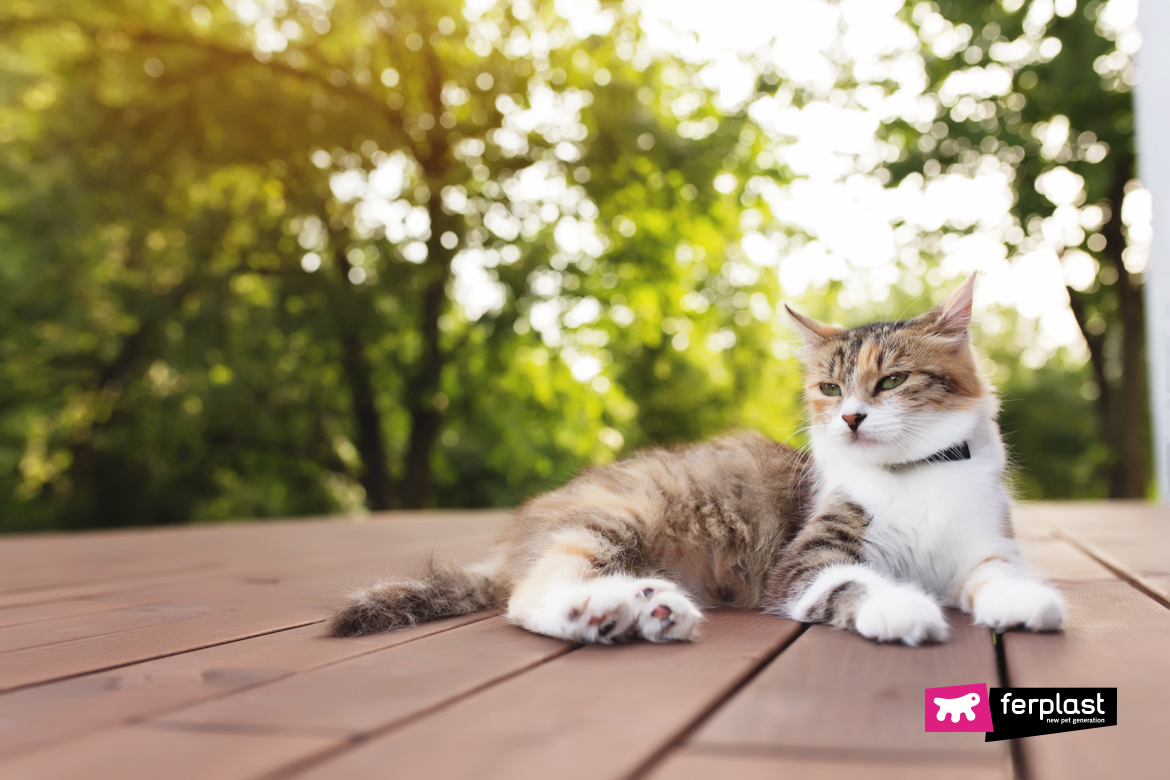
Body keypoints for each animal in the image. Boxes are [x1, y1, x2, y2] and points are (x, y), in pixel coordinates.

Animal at [327, 274, 1062, 645]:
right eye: (830, 389)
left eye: (891, 382)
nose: (851, 417)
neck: (916, 476)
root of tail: (517, 538)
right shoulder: (808, 560)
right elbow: (855, 584)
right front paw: (902, 611)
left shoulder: (983, 547)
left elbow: (996, 577)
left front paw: (1025, 602)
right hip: (614, 520)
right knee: (529, 596)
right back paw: (595, 612)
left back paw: (646, 610)